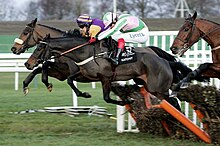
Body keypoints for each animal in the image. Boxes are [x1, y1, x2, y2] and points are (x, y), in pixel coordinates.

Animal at [25, 34, 187, 107]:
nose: (27, 63)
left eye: (39, 48)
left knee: (173, 101)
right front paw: (84, 94)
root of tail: (164, 61)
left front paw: (127, 100)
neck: (84, 52)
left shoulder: (106, 78)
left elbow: (107, 98)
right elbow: (70, 79)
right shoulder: (84, 74)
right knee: (172, 101)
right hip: (148, 84)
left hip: (157, 88)